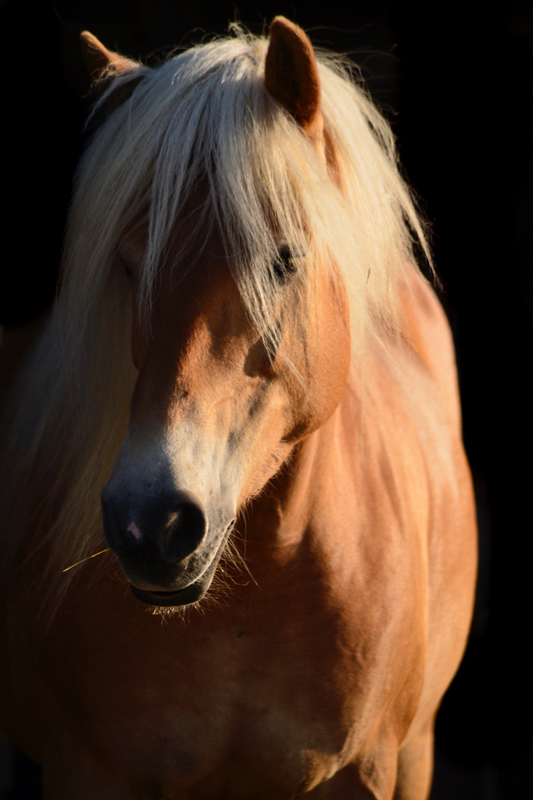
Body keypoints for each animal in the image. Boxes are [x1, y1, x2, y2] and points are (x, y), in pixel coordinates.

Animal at [0, 18, 474, 800]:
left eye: (283, 259)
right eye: (128, 264)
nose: (151, 523)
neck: (255, 602)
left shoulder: (368, 772)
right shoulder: (88, 770)